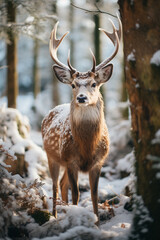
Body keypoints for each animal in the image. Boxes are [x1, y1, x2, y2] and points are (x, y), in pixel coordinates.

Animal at [41, 16, 121, 221]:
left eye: (94, 84)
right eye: (73, 85)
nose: (82, 98)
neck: (87, 146)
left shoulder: (99, 162)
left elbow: (94, 194)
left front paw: (96, 222)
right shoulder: (70, 160)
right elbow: (77, 193)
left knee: (62, 184)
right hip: (51, 155)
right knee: (55, 186)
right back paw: (54, 216)